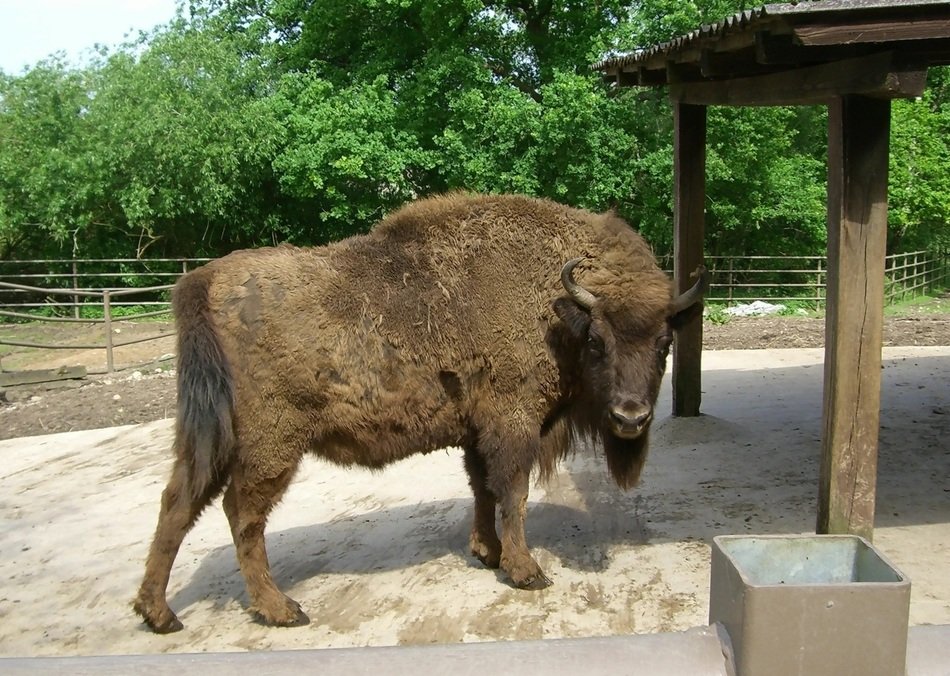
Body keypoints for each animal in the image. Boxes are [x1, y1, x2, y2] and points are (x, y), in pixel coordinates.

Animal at [134, 193, 707, 633]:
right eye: (597, 342)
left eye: (664, 343)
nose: (631, 417)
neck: (555, 308)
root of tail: (203, 281)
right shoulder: (512, 424)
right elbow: (513, 493)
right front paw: (526, 571)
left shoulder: (476, 432)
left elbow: (483, 489)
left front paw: (487, 552)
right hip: (271, 445)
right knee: (242, 514)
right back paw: (282, 610)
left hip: (210, 437)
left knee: (177, 503)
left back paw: (158, 614)